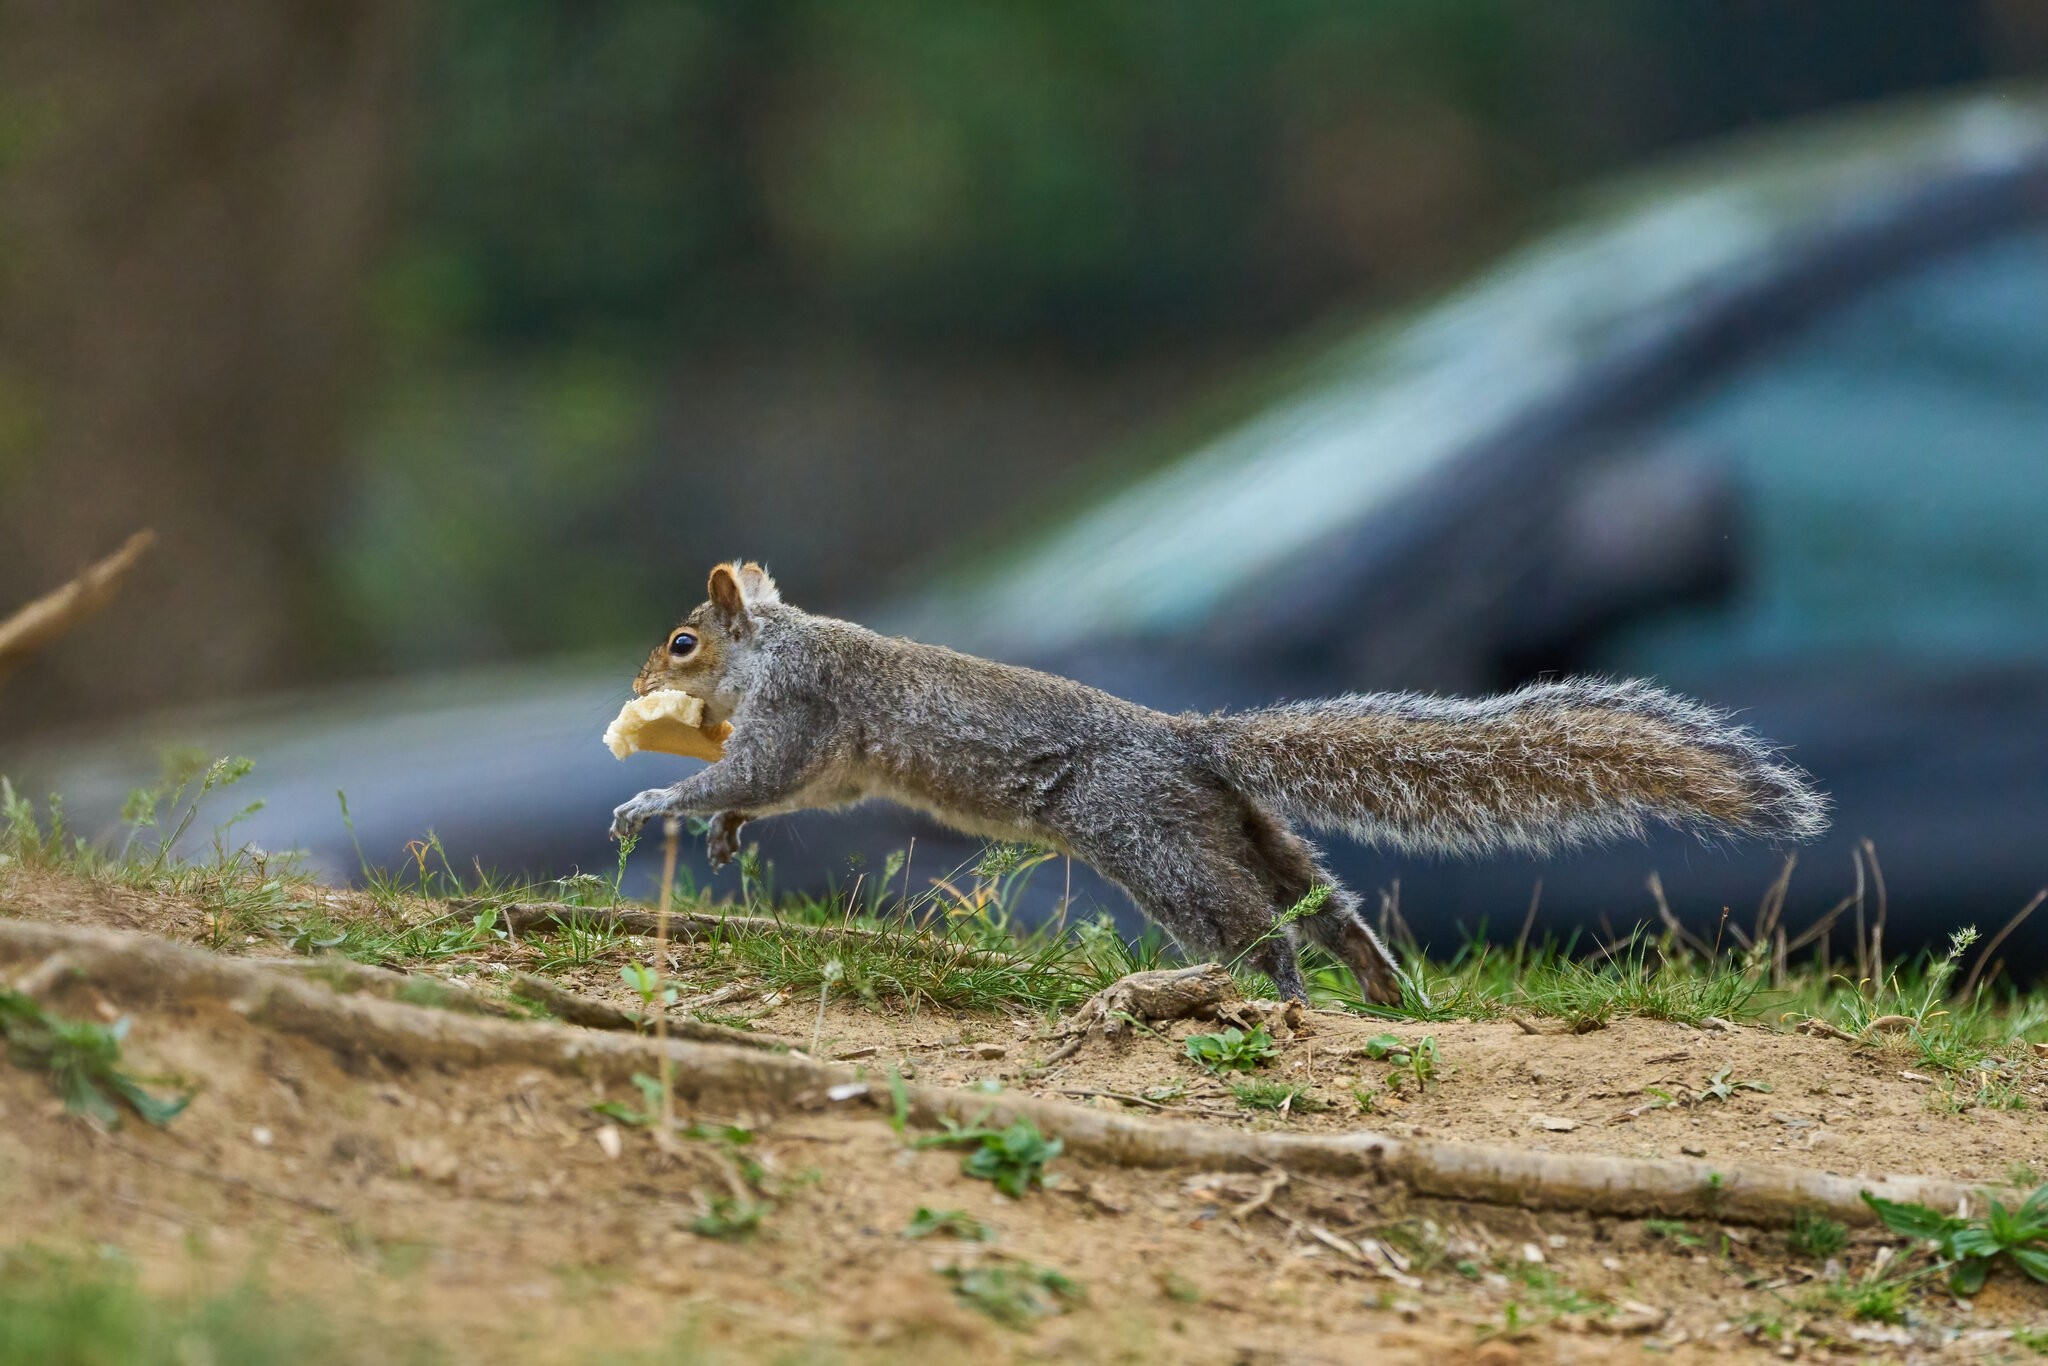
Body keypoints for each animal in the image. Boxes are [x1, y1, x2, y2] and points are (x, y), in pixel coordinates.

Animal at [602, 561, 1826, 1011]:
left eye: (678, 642)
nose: (635, 686)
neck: (776, 643)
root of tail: (1193, 746)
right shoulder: (827, 758)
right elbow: (787, 794)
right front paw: (722, 832)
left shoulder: (803, 711)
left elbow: (761, 772)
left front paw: (658, 806)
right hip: (1240, 830)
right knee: (1323, 905)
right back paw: (1377, 987)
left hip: (1150, 841)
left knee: (1257, 929)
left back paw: (1270, 991)